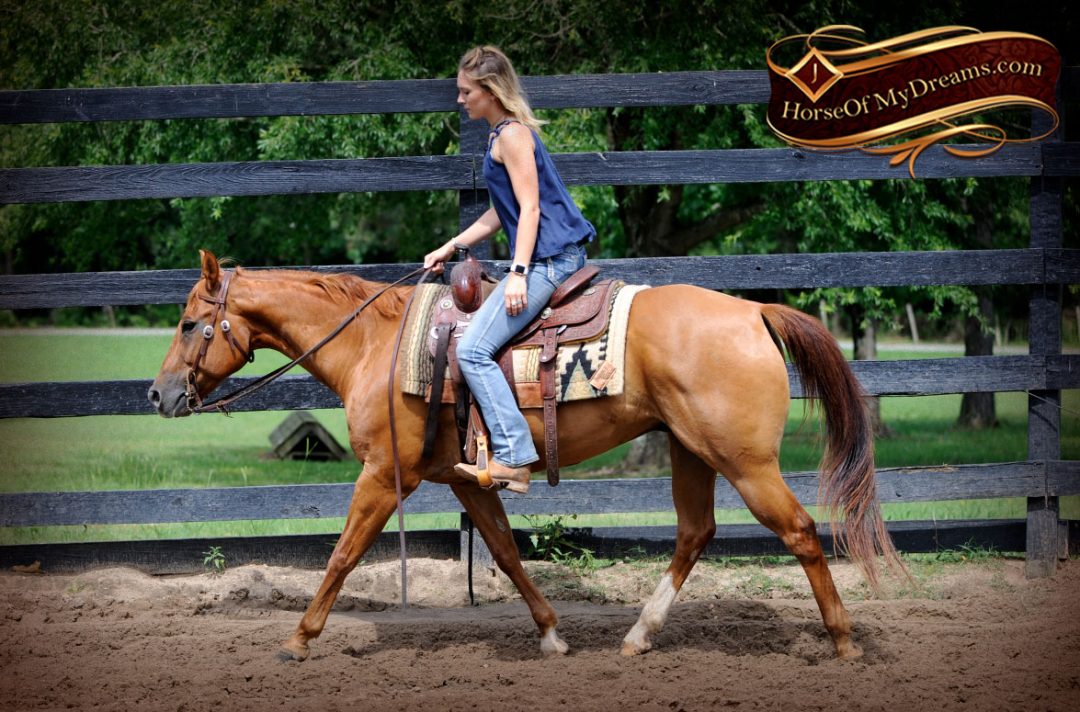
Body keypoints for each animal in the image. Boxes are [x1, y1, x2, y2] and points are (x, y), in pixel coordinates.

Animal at [147, 251, 898, 661]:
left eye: (188, 323)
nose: (158, 394)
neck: (375, 344)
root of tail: (752, 312)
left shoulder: (384, 476)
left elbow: (342, 554)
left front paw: (300, 638)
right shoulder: (462, 478)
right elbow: (506, 552)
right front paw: (552, 634)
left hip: (745, 463)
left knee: (800, 532)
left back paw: (842, 640)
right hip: (692, 452)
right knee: (694, 534)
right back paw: (639, 635)